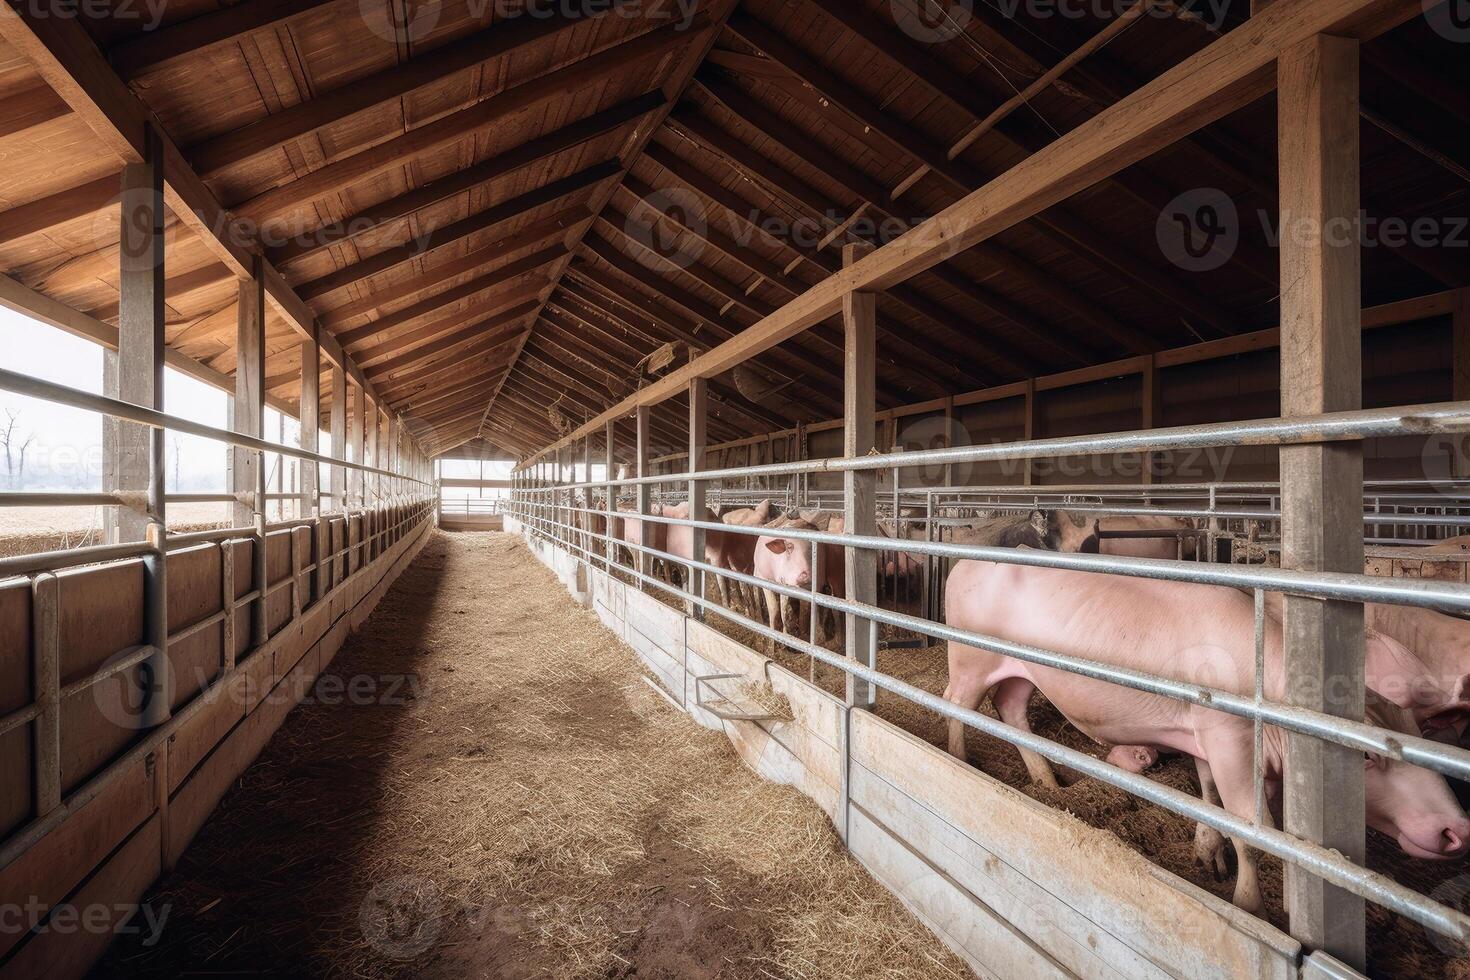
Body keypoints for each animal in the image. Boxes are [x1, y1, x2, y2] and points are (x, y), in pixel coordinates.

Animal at [940, 558, 1470, 910]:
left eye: (1418, 730)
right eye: (1363, 756)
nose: (1456, 830)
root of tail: (965, 562)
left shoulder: (1204, 733)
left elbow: (1209, 796)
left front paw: (1208, 859)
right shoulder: (1229, 738)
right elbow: (1252, 832)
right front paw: (1250, 907)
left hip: (1020, 672)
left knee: (1010, 710)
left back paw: (1047, 781)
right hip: (969, 659)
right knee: (954, 704)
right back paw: (958, 761)